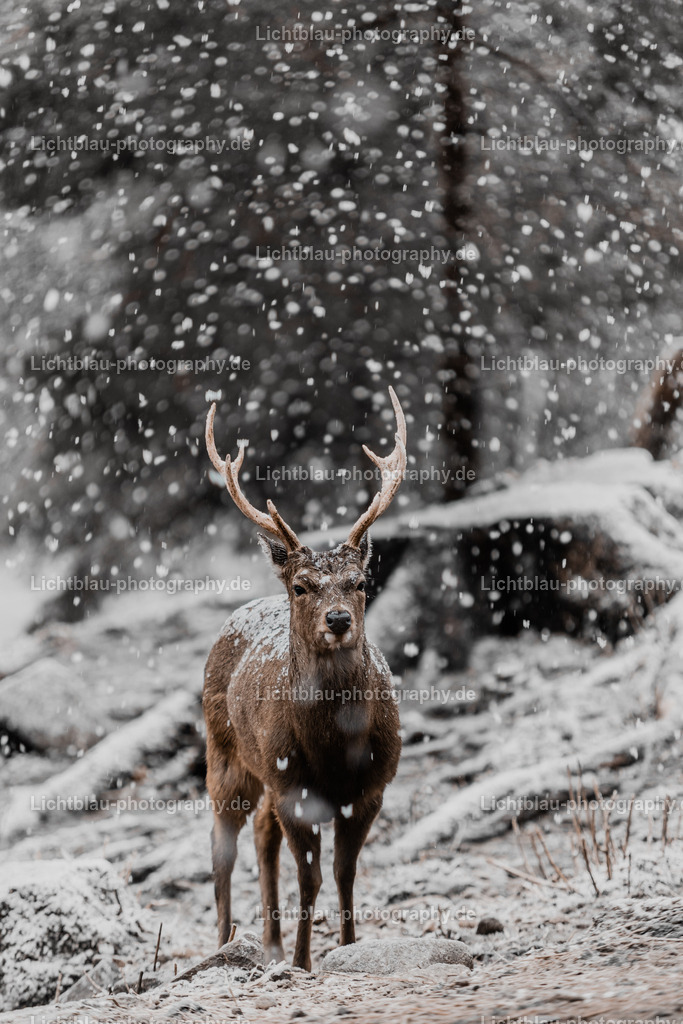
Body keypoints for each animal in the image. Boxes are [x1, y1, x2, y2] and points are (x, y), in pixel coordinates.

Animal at [202, 388, 406, 971]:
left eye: (359, 581)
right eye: (301, 585)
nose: (337, 620)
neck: (336, 746)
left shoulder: (373, 787)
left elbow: (344, 872)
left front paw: (349, 946)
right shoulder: (294, 784)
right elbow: (310, 877)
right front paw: (301, 961)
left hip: (265, 772)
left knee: (262, 835)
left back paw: (267, 943)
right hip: (226, 754)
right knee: (222, 847)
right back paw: (225, 943)